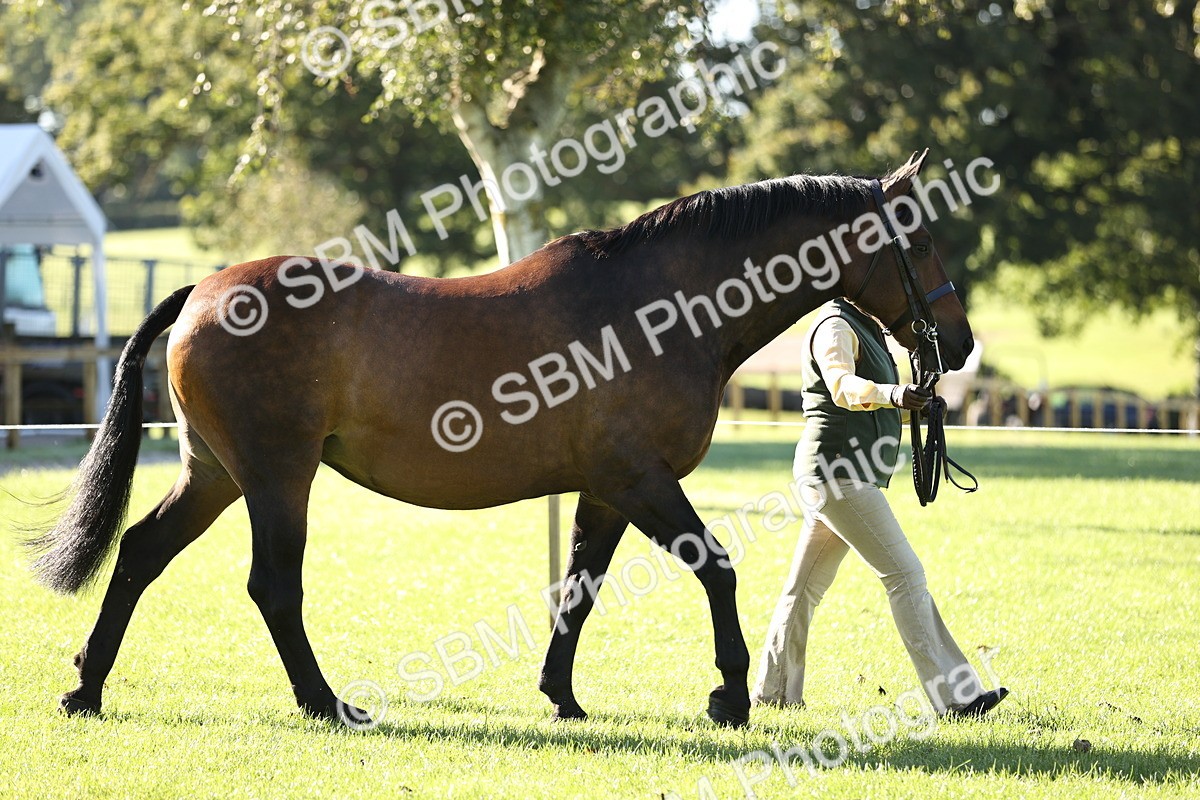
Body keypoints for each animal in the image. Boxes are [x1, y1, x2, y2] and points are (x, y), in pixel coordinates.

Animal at [26, 150, 972, 729]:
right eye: (920, 238)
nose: (957, 346)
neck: (659, 310)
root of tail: (202, 290)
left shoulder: (606, 489)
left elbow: (578, 591)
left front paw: (561, 695)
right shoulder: (642, 480)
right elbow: (716, 568)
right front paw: (729, 696)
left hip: (214, 472)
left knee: (141, 553)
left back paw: (85, 687)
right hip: (276, 476)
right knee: (272, 587)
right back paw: (327, 703)